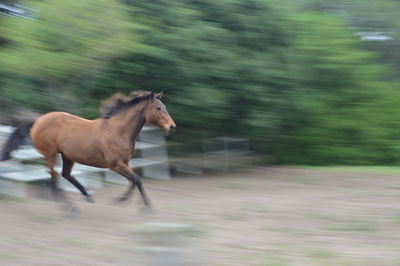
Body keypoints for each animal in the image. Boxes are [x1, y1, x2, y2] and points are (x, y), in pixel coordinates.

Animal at [0, 91, 177, 208]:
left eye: (164, 106)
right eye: (158, 108)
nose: (172, 127)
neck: (118, 131)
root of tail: (38, 120)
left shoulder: (125, 163)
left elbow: (133, 180)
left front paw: (124, 200)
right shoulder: (115, 165)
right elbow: (137, 179)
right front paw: (145, 206)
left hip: (67, 156)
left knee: (65, 175)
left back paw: (87, 195)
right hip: (50, 154)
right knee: (54, 179)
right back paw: (69, 207)